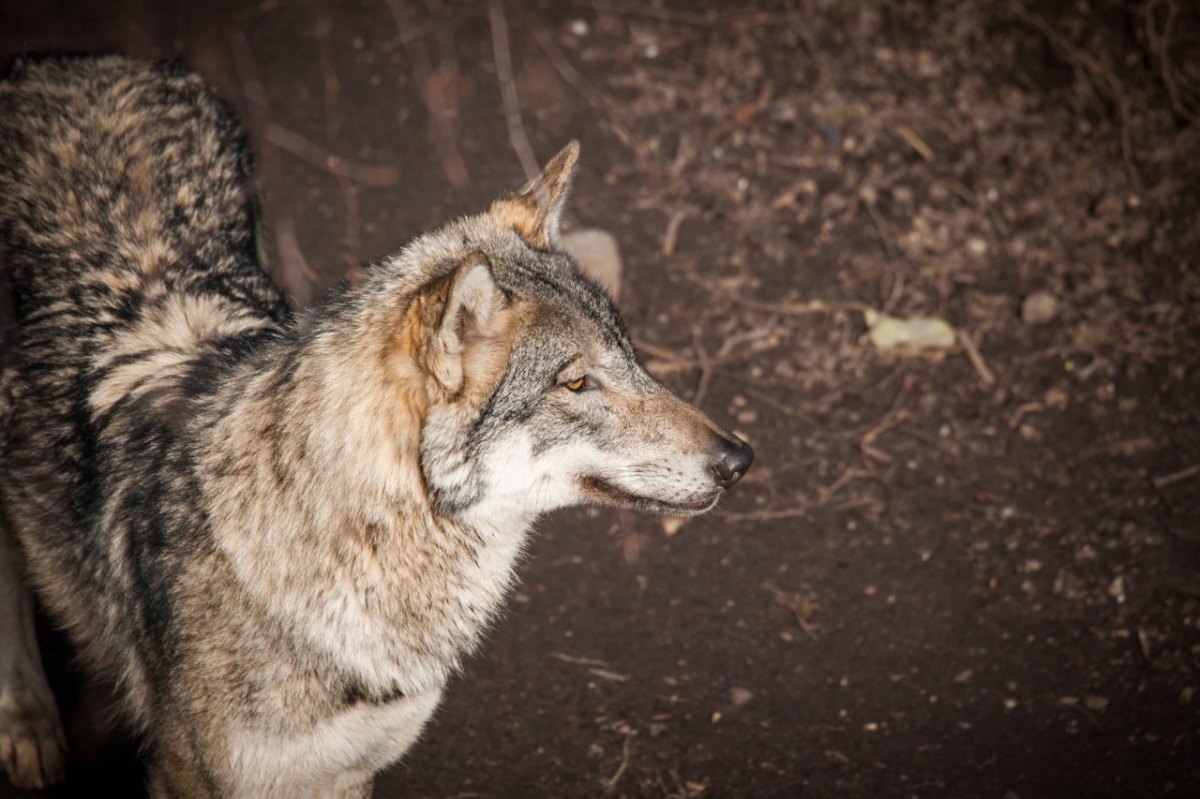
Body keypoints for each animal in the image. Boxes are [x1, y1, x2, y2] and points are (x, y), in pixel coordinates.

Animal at [0, 56, 748, 796]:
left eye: (627, 352)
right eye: (575, 383)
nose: (738, 458)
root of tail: (69, 63)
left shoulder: (351, 769)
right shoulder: (203, 777)